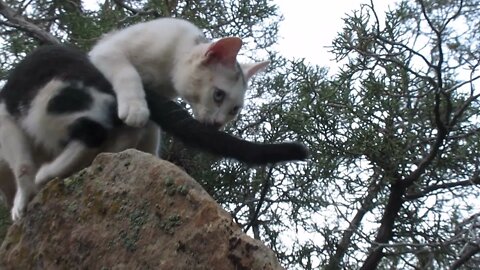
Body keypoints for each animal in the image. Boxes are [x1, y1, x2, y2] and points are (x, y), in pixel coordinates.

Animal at [0, 19, 308, 221]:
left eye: (234, 110)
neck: (165, 70)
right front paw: (135, 106)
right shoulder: (108, 51)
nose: (219, 124)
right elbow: (127, 74)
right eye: (218, 95)